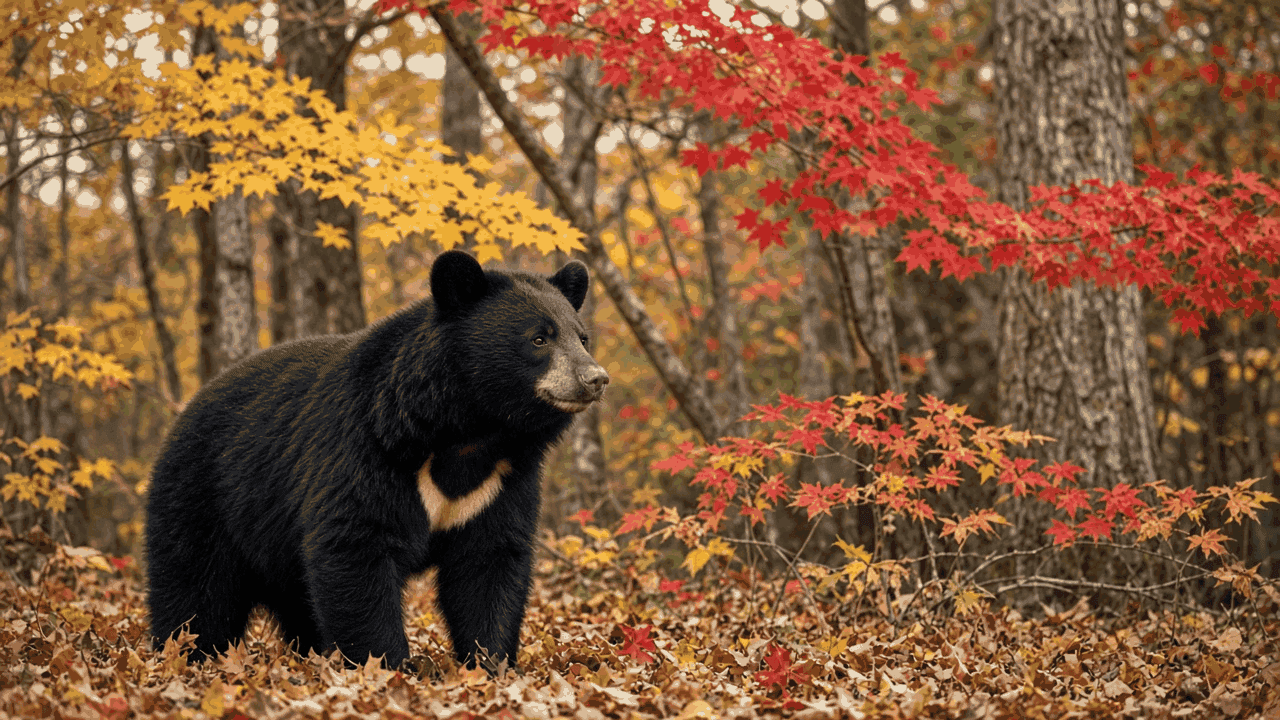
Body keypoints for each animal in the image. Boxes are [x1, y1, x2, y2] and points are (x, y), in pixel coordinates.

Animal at [145, 250, 609, 672]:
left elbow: (489, 563)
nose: (595, 378)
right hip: (205, 500)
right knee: (195, 591)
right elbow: (355, 545)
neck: (471, 432)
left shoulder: (501, 482)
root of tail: (185, 412)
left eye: (581, 337)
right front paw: (388, 666)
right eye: (539, 338)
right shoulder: (367, 449)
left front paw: (490, 664)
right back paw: (188, 655)